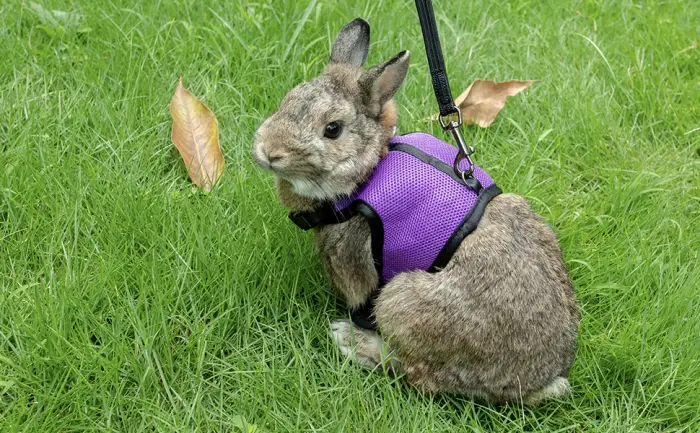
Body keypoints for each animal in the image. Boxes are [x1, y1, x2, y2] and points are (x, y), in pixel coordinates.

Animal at [252, 18, 579, 405]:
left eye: (332, 130)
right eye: (287, 100)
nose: (269, 151)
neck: (369, 172)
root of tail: (539, 381)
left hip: (400, 301)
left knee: (415, 373)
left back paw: (350, 340)